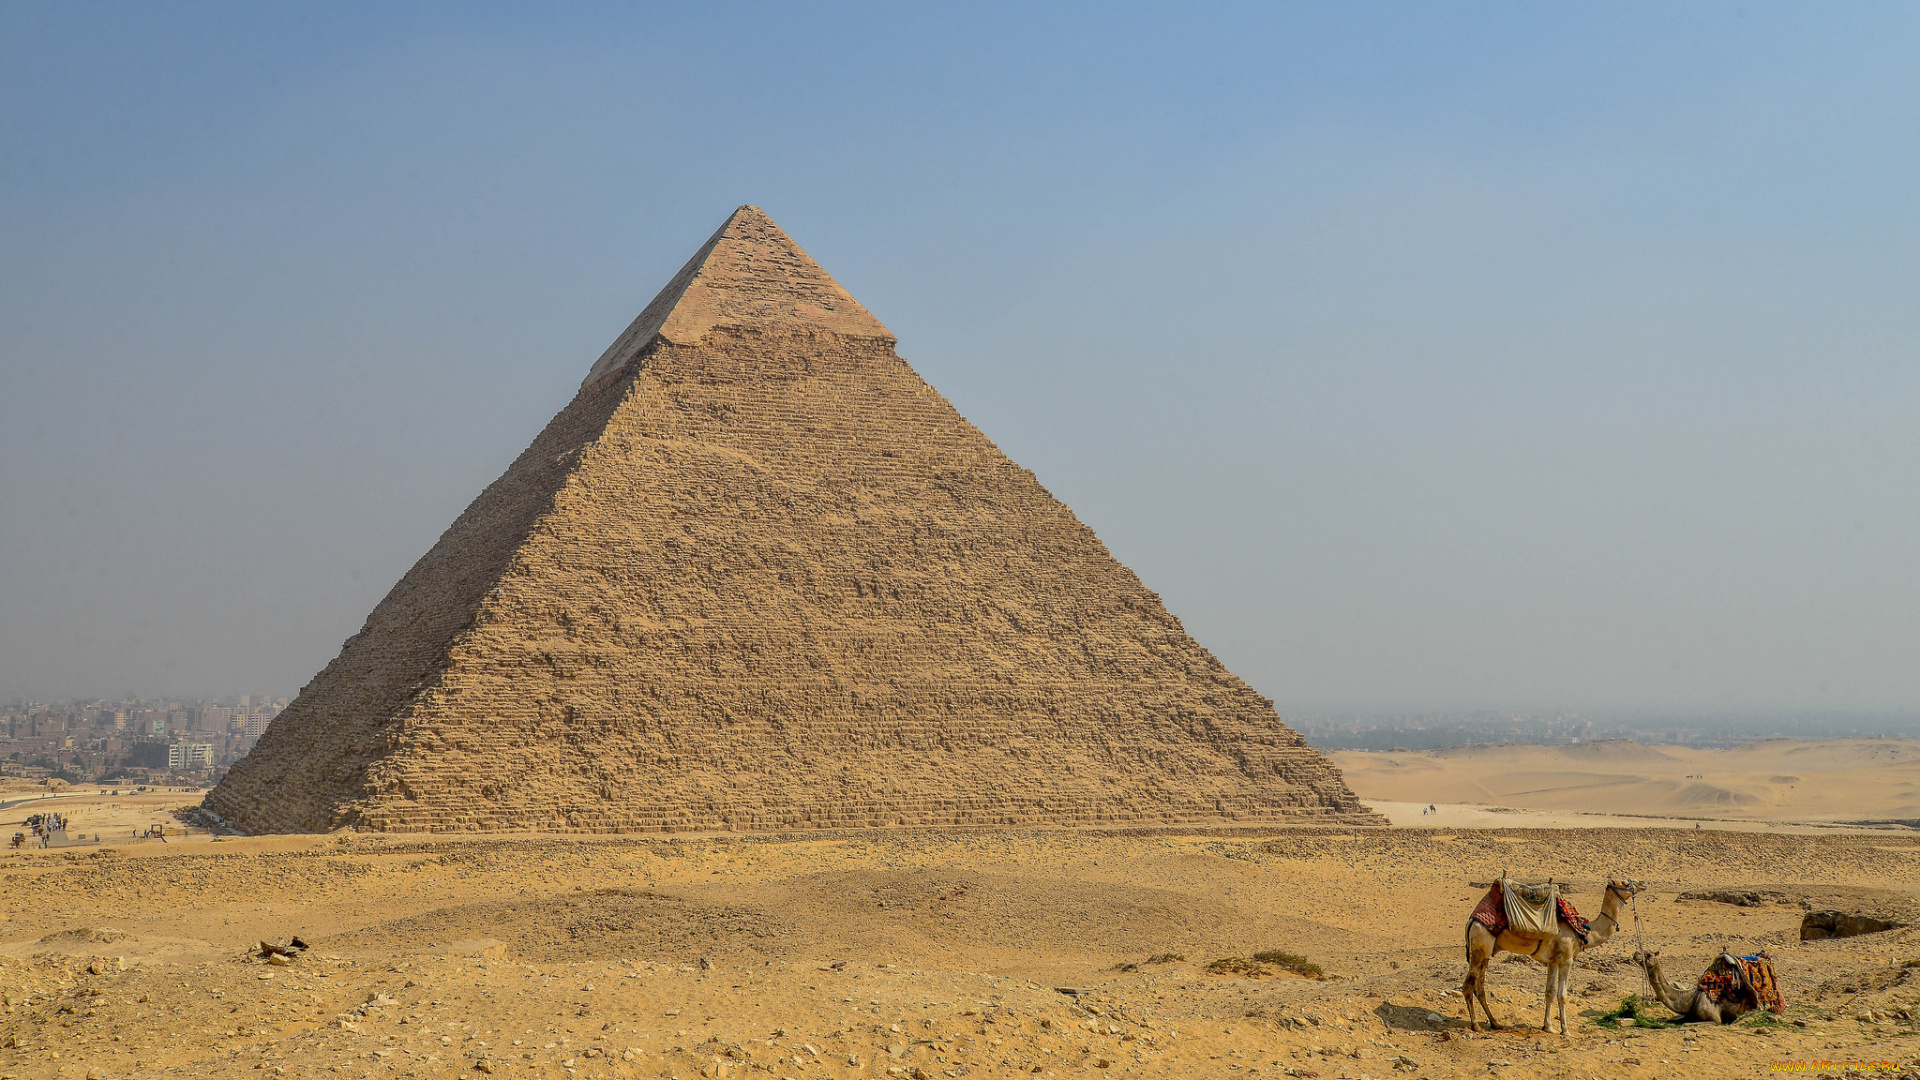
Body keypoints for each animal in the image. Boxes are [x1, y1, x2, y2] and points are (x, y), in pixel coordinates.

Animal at [1459, 876, 1643, 1037]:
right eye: (1624, 882)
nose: (1642, 883)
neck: (1584, 932)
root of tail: (1471, 921)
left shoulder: (1553, 961)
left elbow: (1549, 992)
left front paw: (1548, 1027)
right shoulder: (1567, 958)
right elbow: (1562, 994)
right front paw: (1565, 1030)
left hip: (1486, 952)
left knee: (1480, 987)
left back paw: (1495, 1023)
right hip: (1480, 945)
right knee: (1468, 985)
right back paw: (1476, 1025)